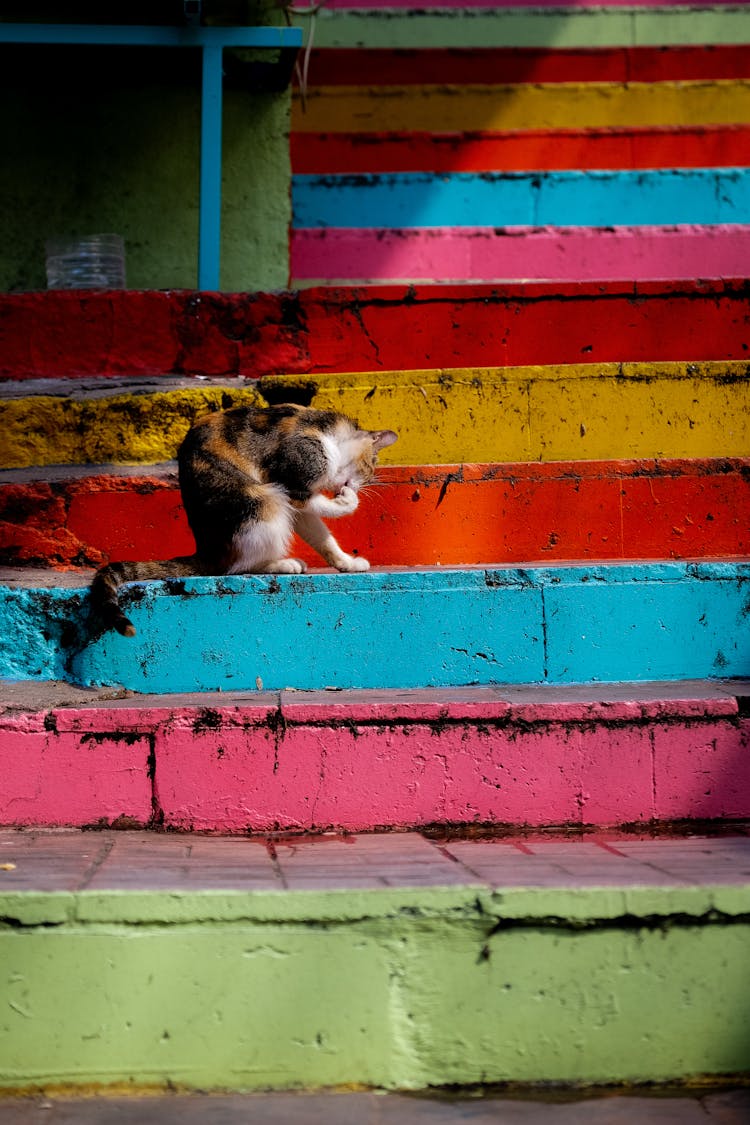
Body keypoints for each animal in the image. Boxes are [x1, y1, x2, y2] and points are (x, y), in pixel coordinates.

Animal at [89, 402, 398, 634]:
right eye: (370, 465)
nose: (363, 484)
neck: (327, 433)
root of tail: (206, 551)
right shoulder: (293, 475)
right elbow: (315, 502)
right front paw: (349, 502)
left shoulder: (298, 502)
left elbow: (319, 533)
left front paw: (346, 562)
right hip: (261, 498)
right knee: (235, 566)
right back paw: (283, 564)